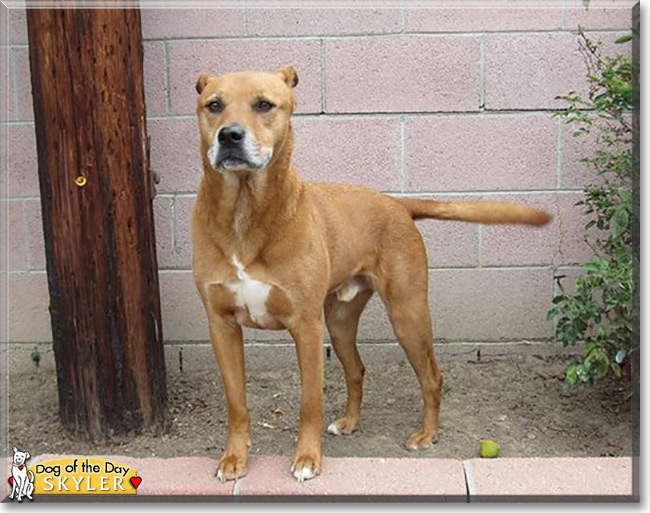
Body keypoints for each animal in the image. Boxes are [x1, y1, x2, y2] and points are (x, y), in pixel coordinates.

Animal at [190, 66, 548, 482]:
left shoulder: (306, 326)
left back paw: (426, 434)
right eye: (214, 105)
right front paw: (234, 457)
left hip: (408, 314)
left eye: (264, 104)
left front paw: (308, 458)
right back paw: (349, 422)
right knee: (357, 369)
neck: (244, 212)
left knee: (432, 376)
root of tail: (396, 203)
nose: (229, 135)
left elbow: (309, 402)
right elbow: (236, 402)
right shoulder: (221, 326)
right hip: (340, 320)